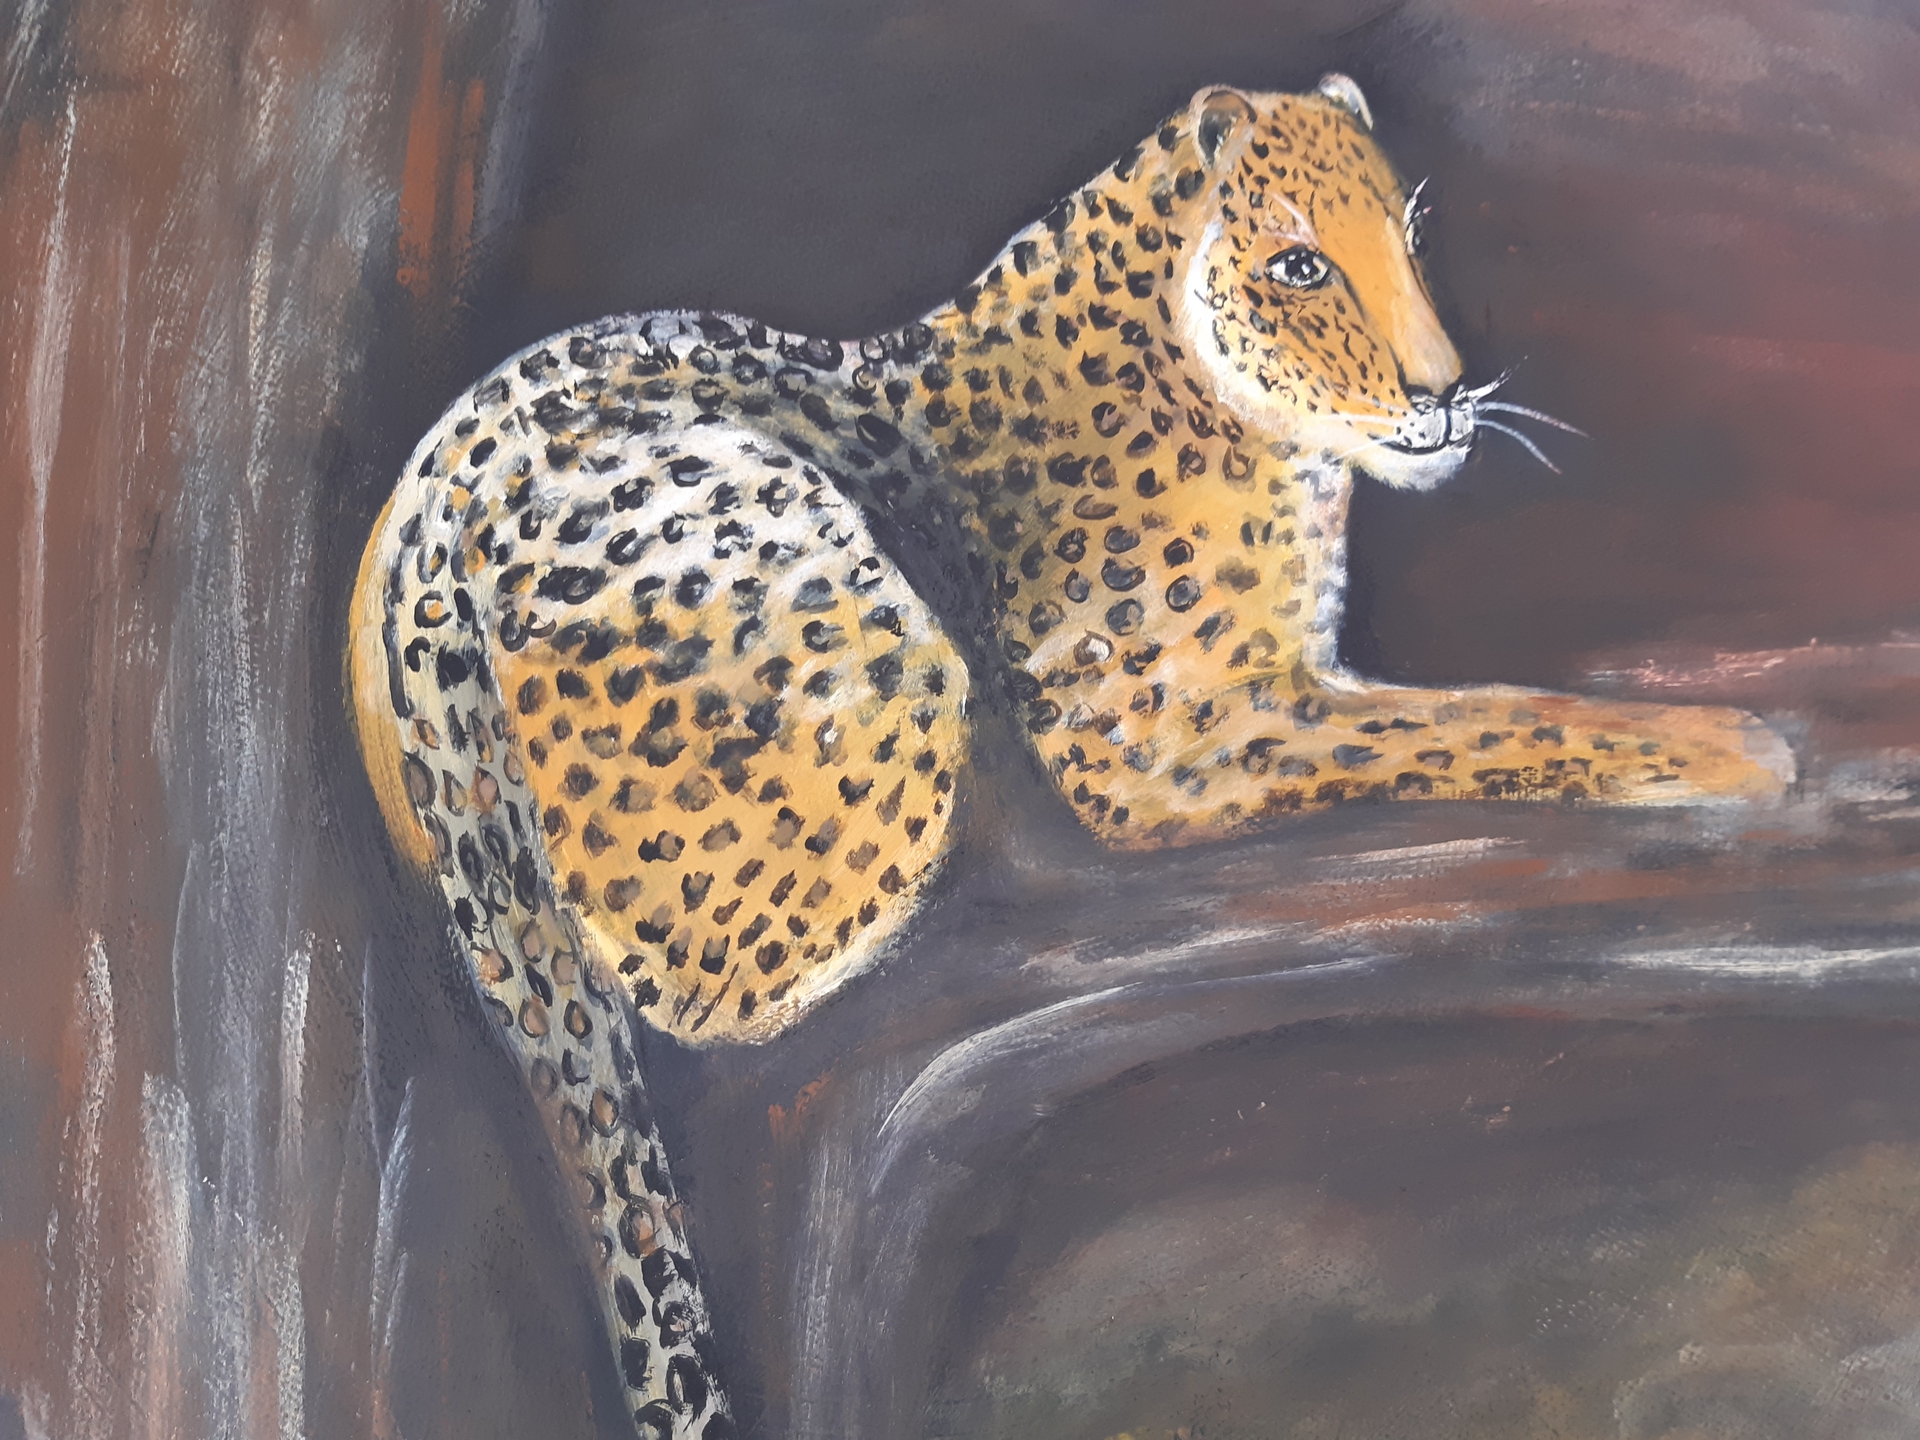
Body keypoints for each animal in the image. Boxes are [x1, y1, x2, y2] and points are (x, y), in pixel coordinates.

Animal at [346, 74, 1792, 1437]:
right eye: (1300, 267)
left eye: (1408, 243)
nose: (1443, 393)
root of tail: (430, 508)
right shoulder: (1179, 737)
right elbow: (1477, 721)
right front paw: (1728, 748)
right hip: (880, 658)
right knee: (727, 992)